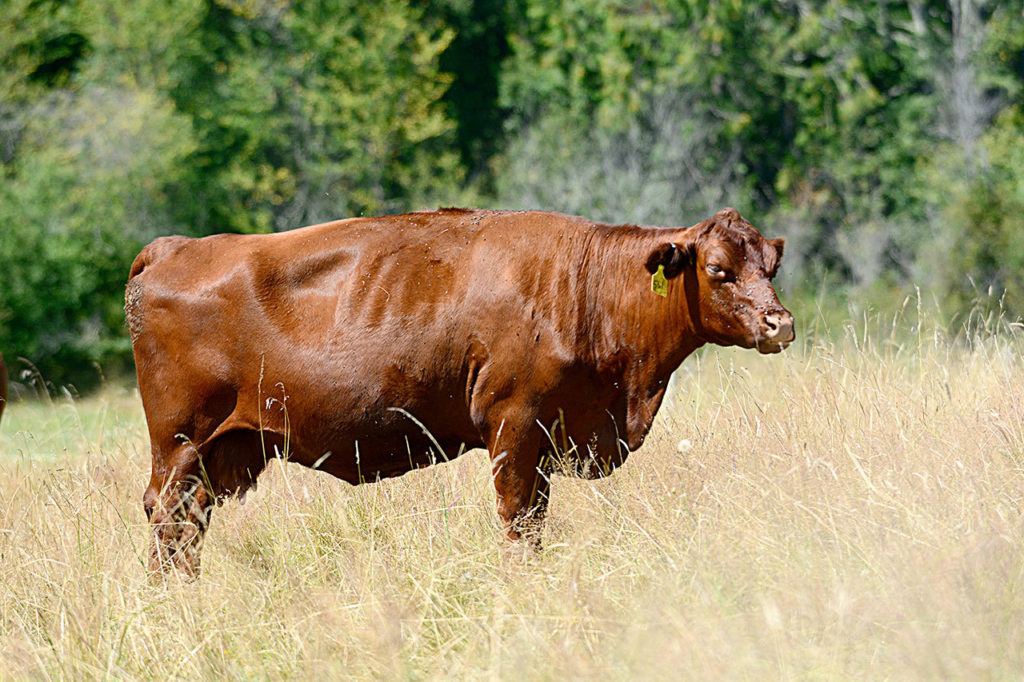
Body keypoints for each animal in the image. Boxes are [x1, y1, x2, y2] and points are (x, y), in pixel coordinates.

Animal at [126, 207, 794, 577]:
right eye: (717, 269)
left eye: (770, 265)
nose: (779, 323)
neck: (586, 287)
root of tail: (172, 248)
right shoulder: (515, 430)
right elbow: (519, 523)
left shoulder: (546, 443)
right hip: (180, 444)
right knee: (168, 520)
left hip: (217, 452)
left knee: (187, 527)